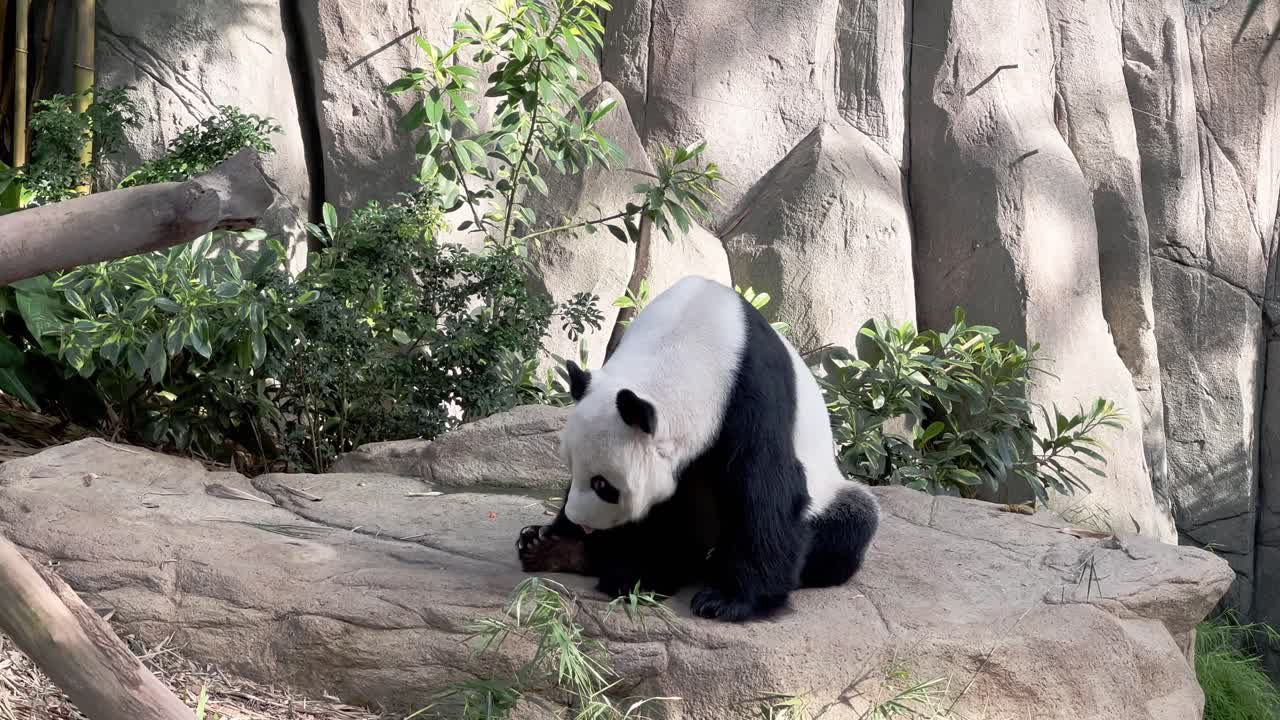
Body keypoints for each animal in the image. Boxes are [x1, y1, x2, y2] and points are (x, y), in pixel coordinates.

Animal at [516, 275, 880, 622]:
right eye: (572, 469)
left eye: (603, 485)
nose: (582, 523)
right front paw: (559, 538)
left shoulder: (754, 393)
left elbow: (764, 489)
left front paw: (727, 602)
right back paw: (555, 550)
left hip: (830, 497)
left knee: (851, 524)